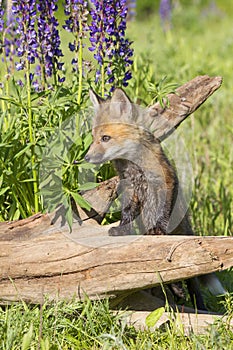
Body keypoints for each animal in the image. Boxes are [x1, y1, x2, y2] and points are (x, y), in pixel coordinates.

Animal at [85, 87, 226, 308]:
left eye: (105, 138)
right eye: (93, 137)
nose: (86, 158)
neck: (134, 166)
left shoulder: (163, 181)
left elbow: (162, 212)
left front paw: (157, 228)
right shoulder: (130, 187)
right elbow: (127, 213)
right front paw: (122, 229)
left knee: (189, 281)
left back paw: (197, 304)